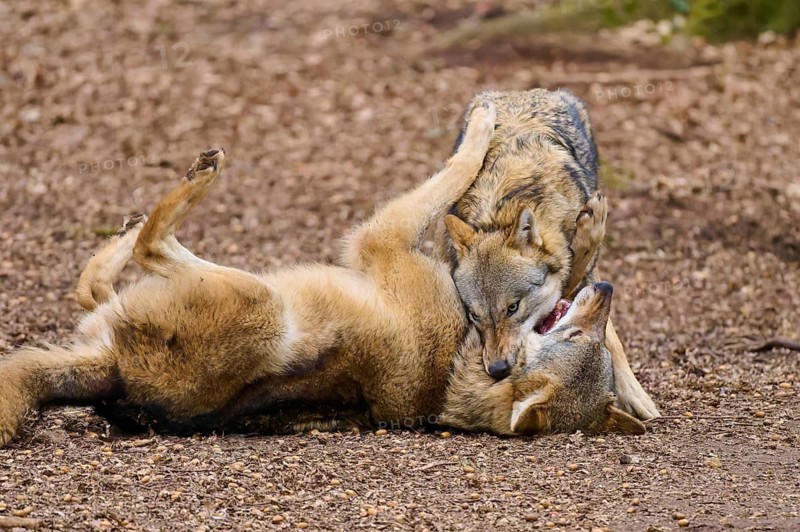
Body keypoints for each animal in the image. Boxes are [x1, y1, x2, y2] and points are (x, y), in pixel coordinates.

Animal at [440, 89, 659, 420]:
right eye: (475, 315)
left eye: (513, 308)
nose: (498, 369)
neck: (505, 207)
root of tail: (522, 92)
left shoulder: (584, 270)